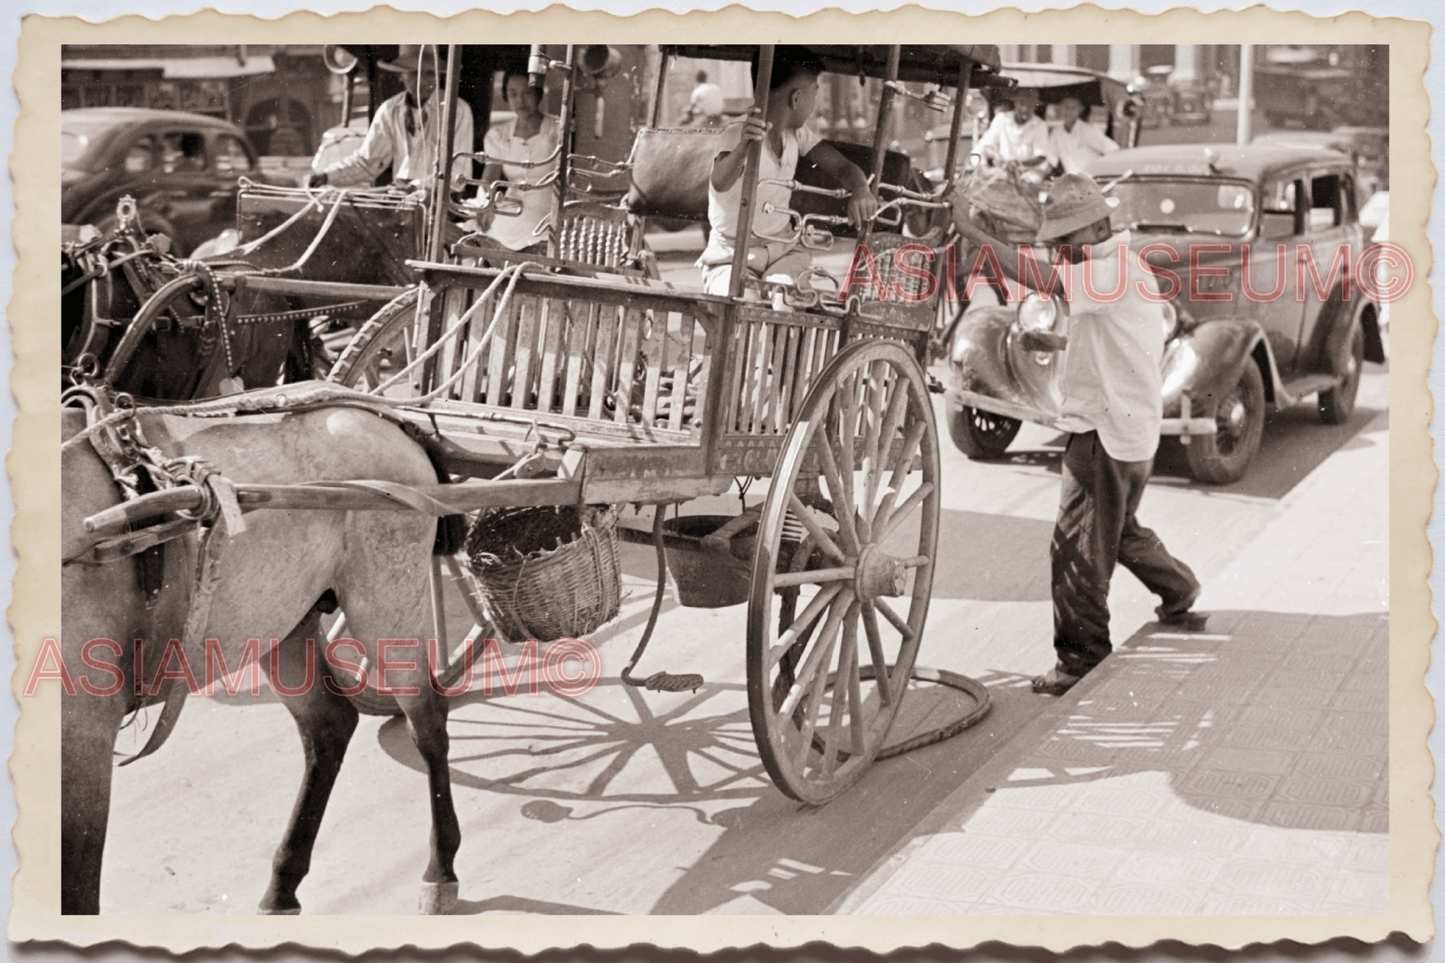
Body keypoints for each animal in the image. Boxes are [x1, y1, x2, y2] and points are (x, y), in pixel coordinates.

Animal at [60, 396, 456, 908]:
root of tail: (393, 423)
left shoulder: (84, 734)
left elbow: (77, 886)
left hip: (388, 601)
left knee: (426, 719)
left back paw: (440, 867)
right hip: (282, 621)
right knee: (329, 725)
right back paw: (283, 886)